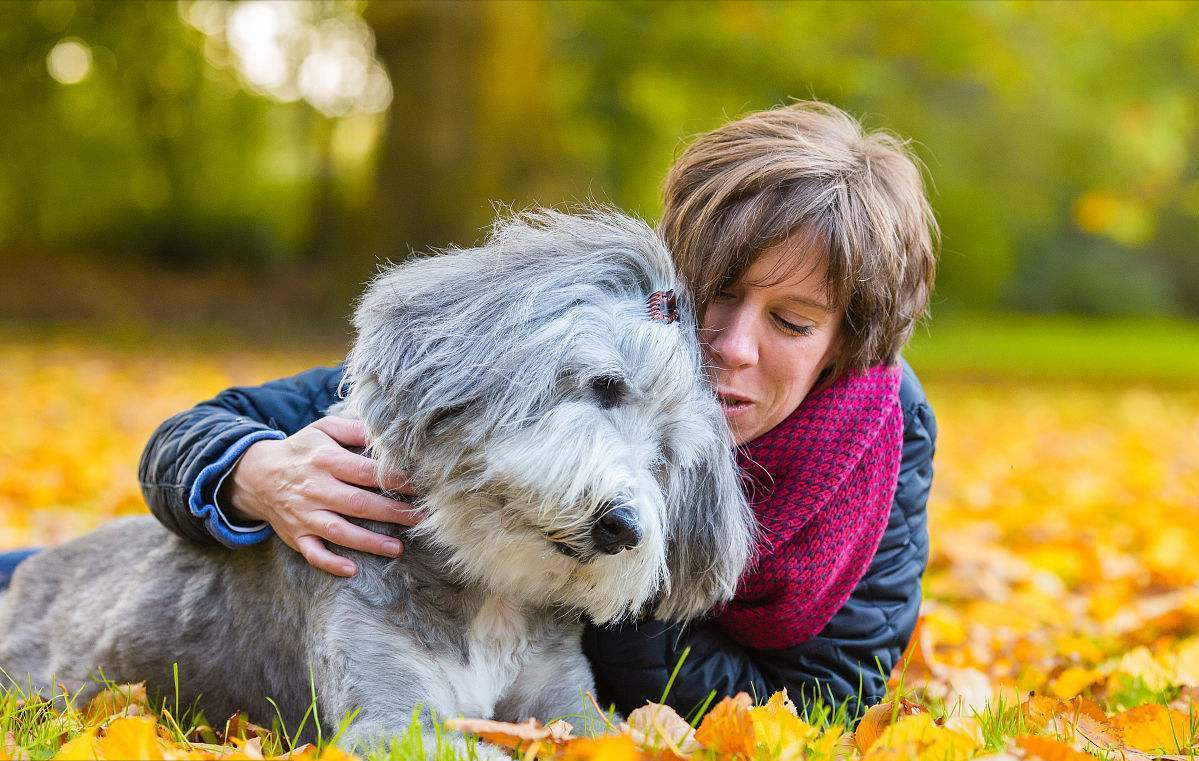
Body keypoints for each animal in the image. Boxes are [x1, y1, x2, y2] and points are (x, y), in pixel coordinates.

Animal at [0, 209, 752, 757]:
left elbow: (623, 735)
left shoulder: (567, 703)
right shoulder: (393, 716)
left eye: (665, 458)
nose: (620, 525)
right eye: (603, 385)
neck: (489, 590)